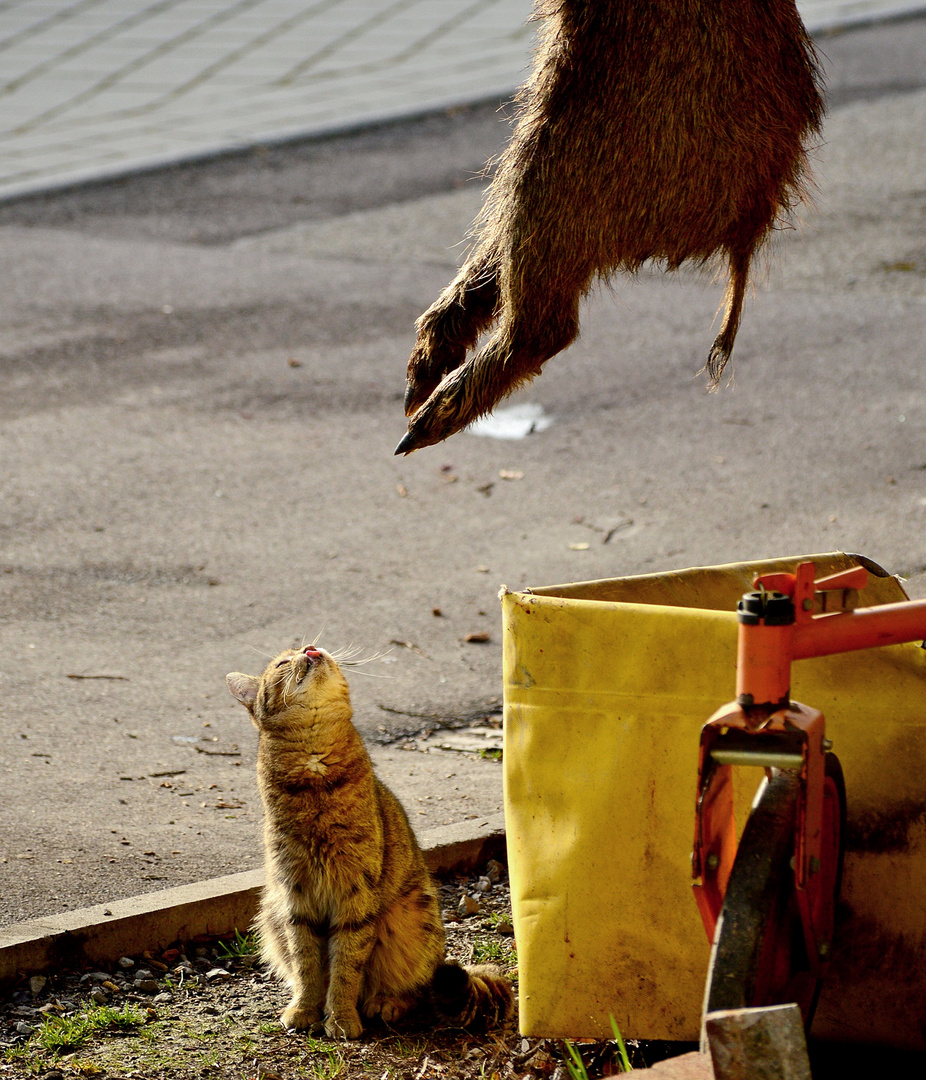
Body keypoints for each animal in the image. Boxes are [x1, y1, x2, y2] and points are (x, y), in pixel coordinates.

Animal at [225, 639, 512, 1036]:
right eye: (283, 662)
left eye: (305, 647)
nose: (310, 648)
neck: (315, 768)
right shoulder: (296, 895)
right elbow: (306, 964)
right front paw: (306, 1009)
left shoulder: (356, 894)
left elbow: (346, 965)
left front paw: (341, 1018)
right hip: (271, 910)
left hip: (413, 916)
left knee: (418, 986)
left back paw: (385, 1002)